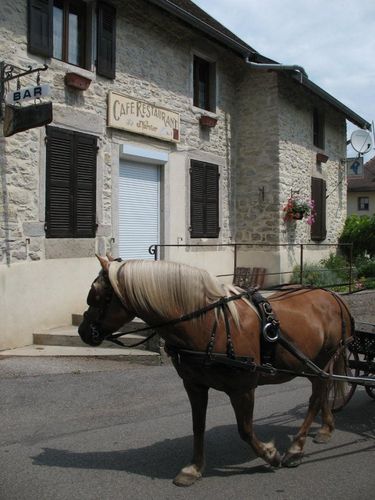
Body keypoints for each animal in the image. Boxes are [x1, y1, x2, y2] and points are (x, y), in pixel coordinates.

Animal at [78, 256, 354, 486]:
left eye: (96, 295)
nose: (82, 331)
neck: (210, 324)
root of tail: (332, 295)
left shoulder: (243, 389)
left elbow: (245, 430)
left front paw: (270, 454)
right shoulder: (195, 386)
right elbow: (198, 426)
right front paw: (194, 468)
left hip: (323, 358)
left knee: (316, 398)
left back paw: (296, 448)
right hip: (314, 365)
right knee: (323, 389)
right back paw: (326, 429)